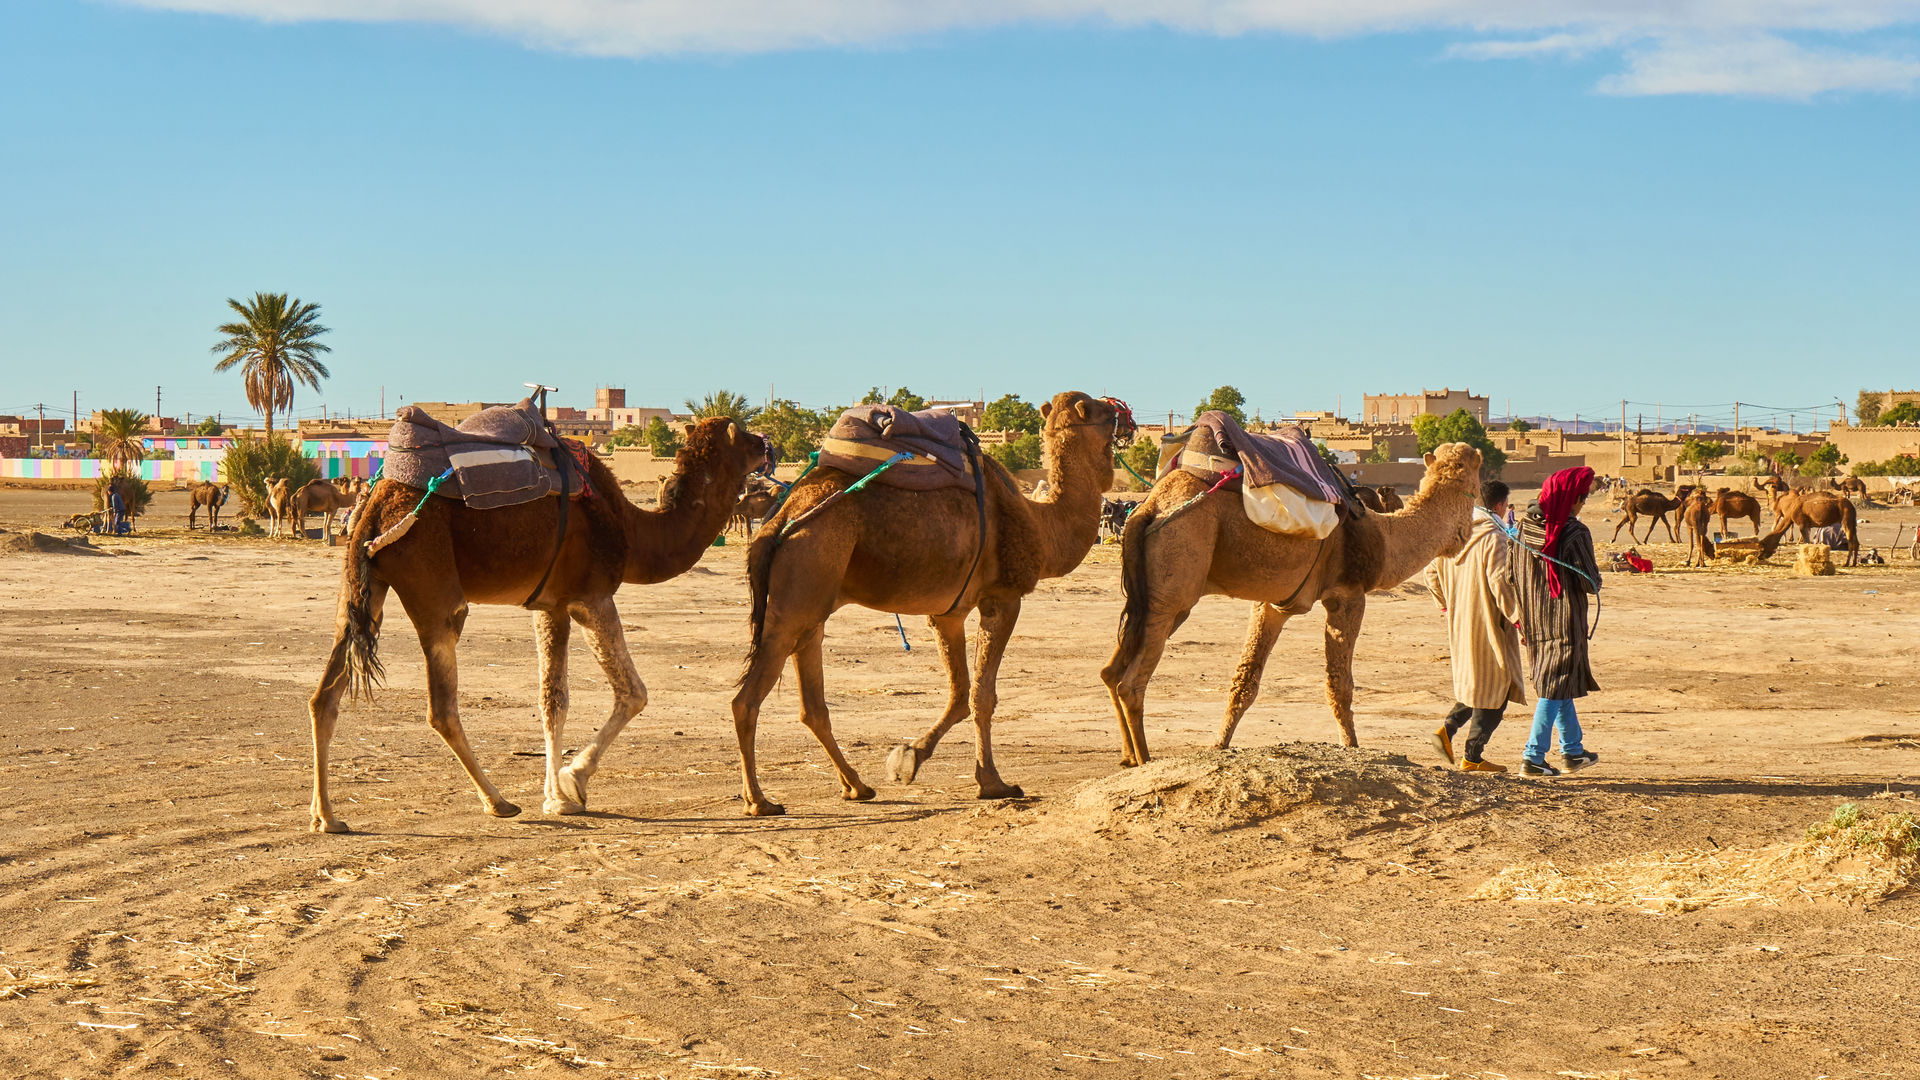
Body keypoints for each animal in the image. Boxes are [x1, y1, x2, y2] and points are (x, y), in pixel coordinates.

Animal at [306, 416, 769, 832]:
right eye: (744, 432)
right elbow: (633, 693)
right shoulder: (591, 596)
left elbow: (552, 701)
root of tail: (375, 506)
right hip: (433, 583)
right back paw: (498, 802)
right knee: (441, 707)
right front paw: (573, 784)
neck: (632, 529)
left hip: (363, 590)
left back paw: (327, 816)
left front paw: (556, 796)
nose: (767, 446)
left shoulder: (551, 604)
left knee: (324, 695)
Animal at [729, 391, 1130, 816]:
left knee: (812, 704)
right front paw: (994, 783)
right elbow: (982, 694)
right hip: (804, 577)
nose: (1126, 416)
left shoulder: (948, 612)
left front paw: (909, 759)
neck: (1040, 523)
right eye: (1102, 411)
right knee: (747, 699)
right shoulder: (1003, 598)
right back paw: (759, 800)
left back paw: (856, 786)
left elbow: (960, 694)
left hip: (811, 597)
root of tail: (778, 521)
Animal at [1101, 442, 1483, 762]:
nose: (1469, 528)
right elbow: (1339, 685)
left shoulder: (1274, 605)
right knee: (1130, 683)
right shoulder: (1348, 595)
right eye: (1476, 474)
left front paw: (1219, 745)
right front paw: (1352, 747)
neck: (1382, 538)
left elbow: (1245, 680)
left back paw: (1127, 757)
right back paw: (1145, 761)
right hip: (1176, 572)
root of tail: (1148, 508)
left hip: (1152, 598)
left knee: (1111, 670)